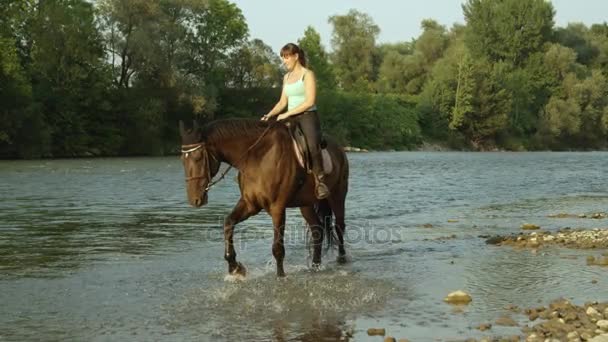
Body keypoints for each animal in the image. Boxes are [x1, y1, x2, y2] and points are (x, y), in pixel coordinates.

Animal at [178, 119, 350, 276]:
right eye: (182, 160)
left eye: (198, 157)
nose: (194, 200)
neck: (258, 158)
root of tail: (339, 147)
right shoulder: (250, 204)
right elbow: (228, 223)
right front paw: (234, 267)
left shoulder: (277, 208)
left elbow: (278, 248)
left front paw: (280, 276)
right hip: (305, 204)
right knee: (317, 230)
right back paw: (315, 266)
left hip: (337, 195)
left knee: (339, 226)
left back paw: (341, 259)